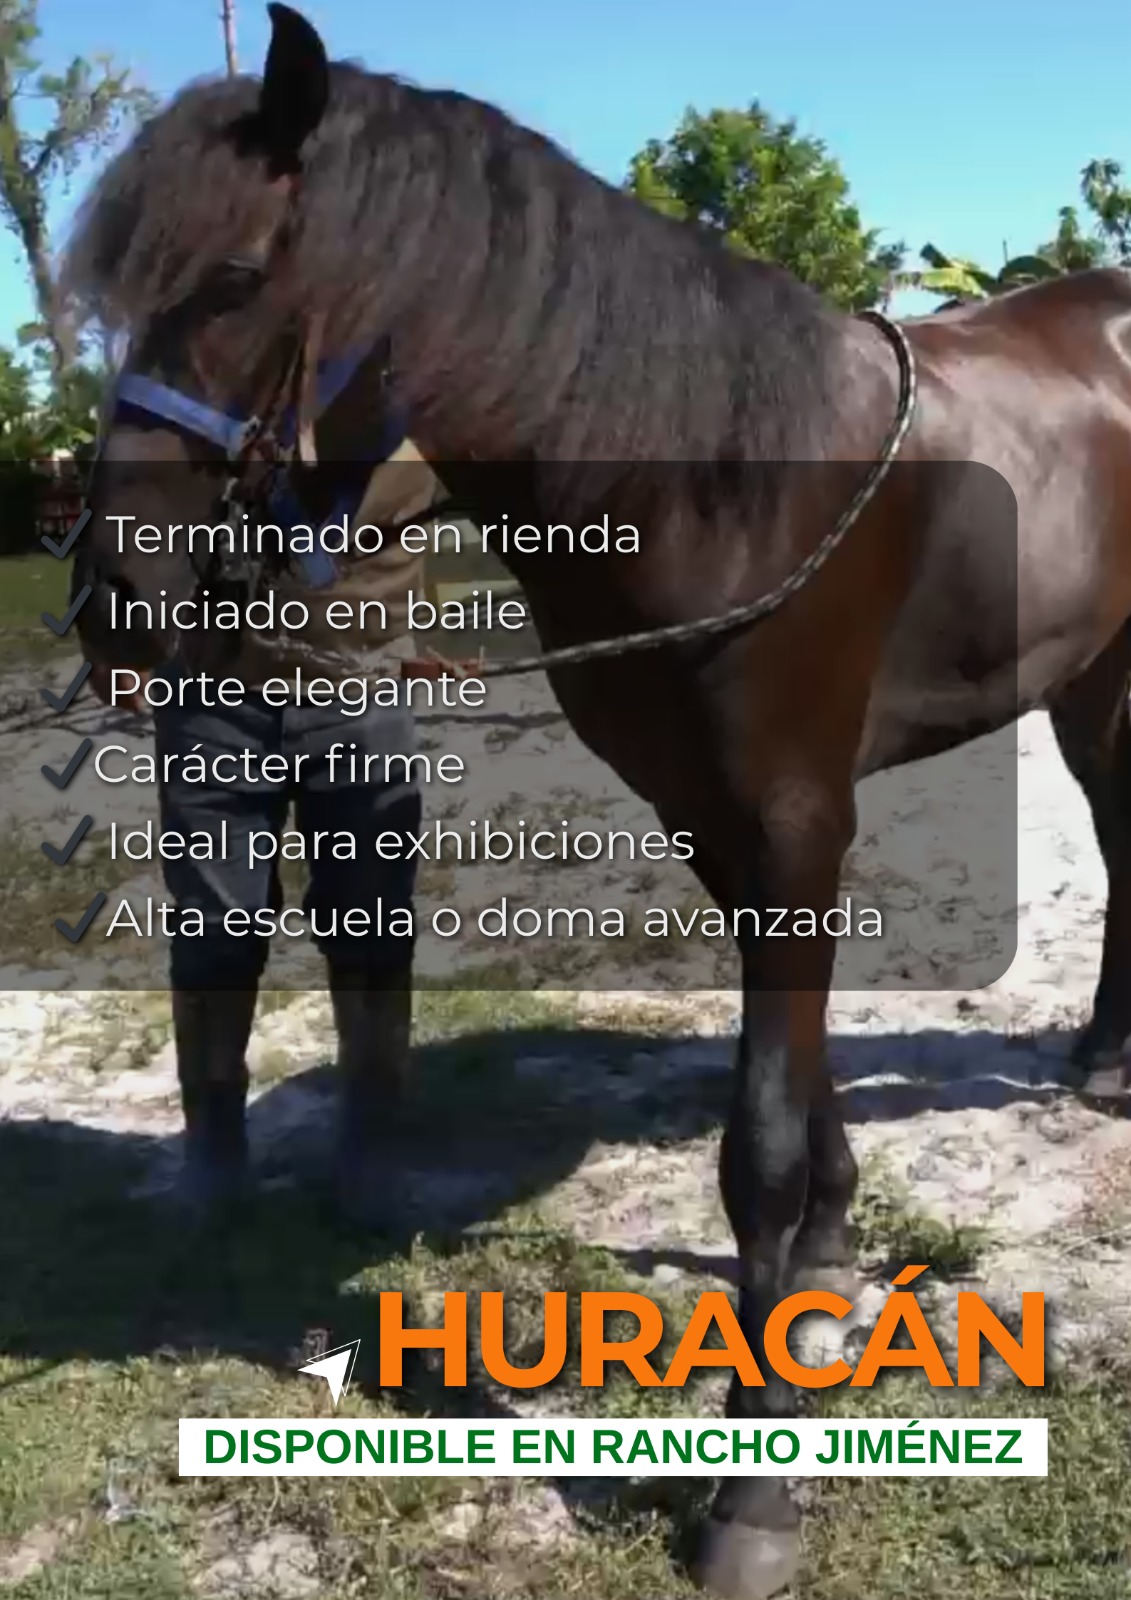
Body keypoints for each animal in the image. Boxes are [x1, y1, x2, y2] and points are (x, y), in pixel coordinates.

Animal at [58, 5, 1131, 1595]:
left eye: (237, 278)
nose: (114, 599)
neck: (712, 478)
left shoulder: (795, 823)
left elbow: (753, 1146)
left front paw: (754, 1489)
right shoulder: (721, 823)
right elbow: (795, 1091)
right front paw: (827, 1257)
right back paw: (1104, 1056)